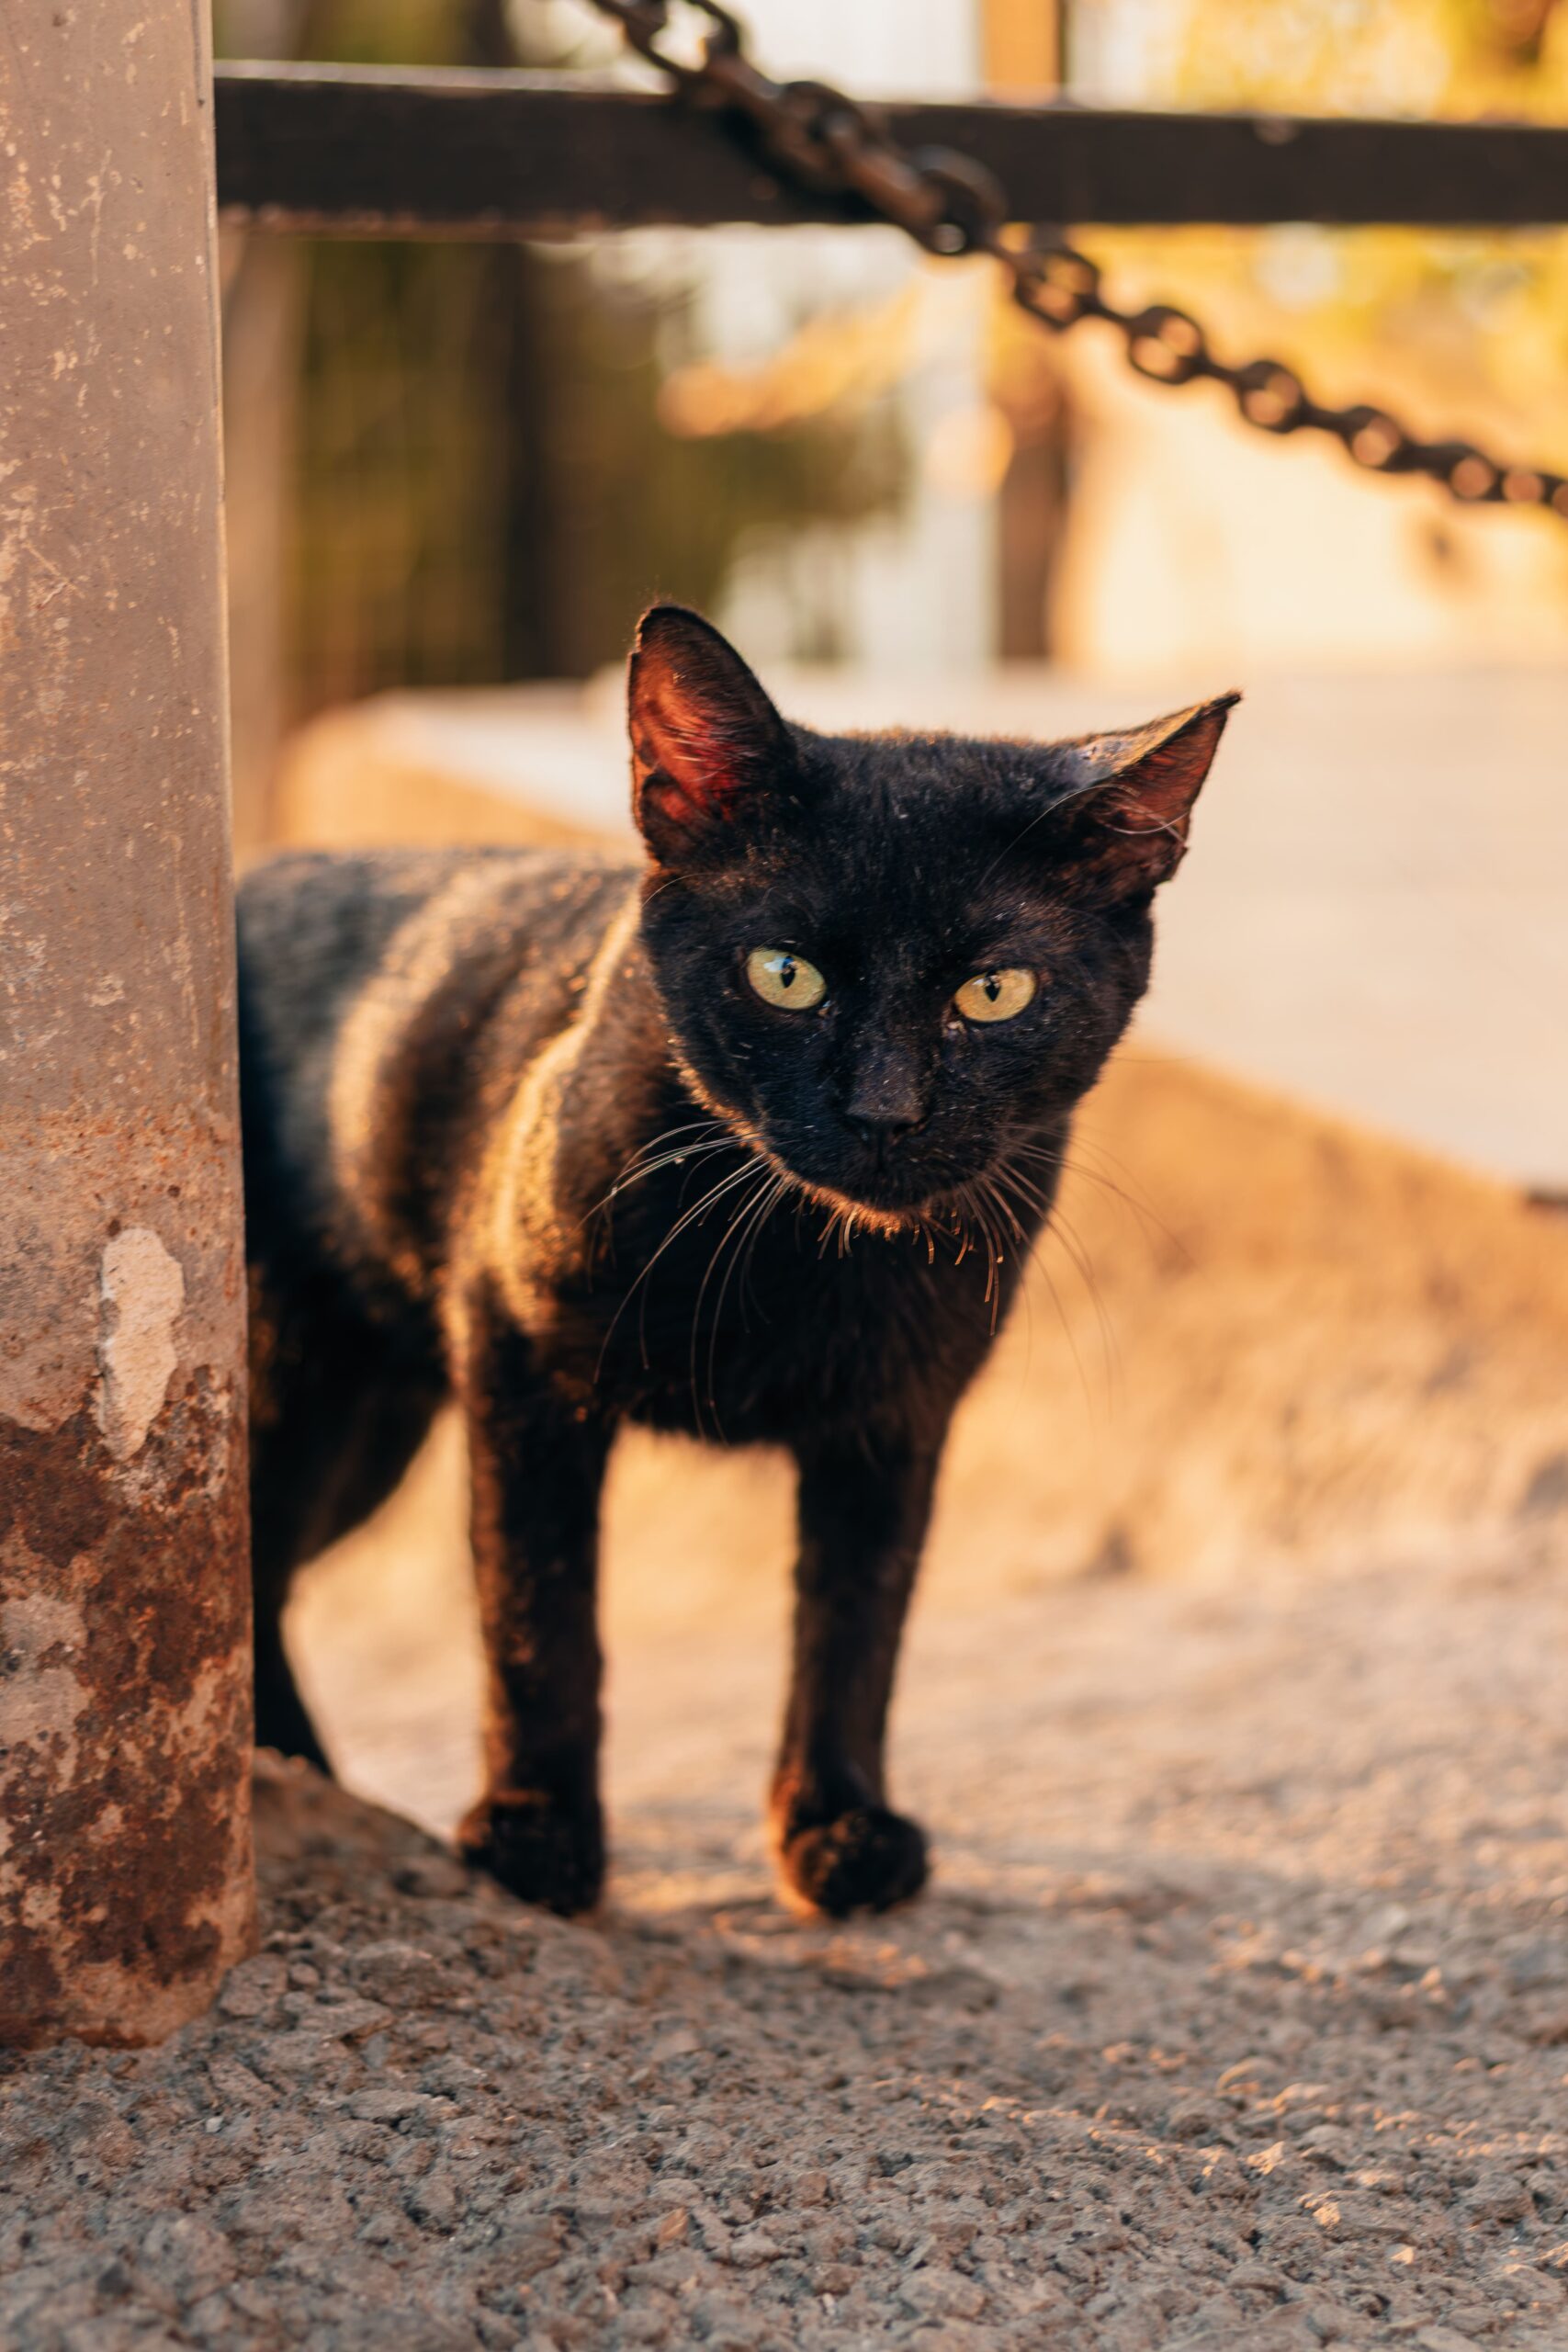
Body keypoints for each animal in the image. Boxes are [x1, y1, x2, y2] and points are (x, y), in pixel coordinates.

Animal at [240, 606, 1241, 1909]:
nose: (884, 1111)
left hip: (368, 1429)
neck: (801, 1260)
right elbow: (537, 1614)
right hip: (292, 1396)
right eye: (785, 974)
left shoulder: (899, 1419)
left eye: (995, 991)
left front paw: (838, 1822)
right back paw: (297, 1780)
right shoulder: (521, 1362)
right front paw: (536, 1829)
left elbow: (858, 1624)